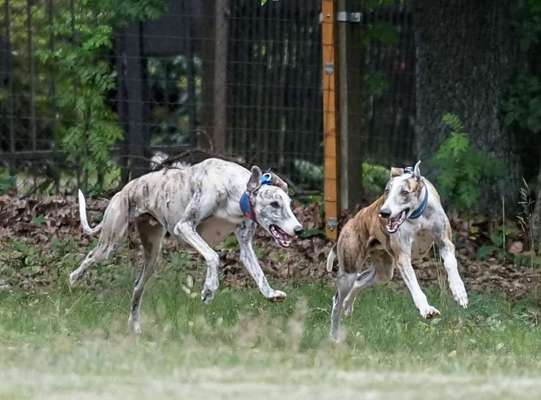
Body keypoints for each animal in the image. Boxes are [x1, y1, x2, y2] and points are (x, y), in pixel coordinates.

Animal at [69, 158, 302, 332]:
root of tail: (124, 189)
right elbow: (213, 256)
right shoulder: (185, 227)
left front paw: (271, 294)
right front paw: (209, 289)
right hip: (111, 241)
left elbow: (258, 273)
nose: (299, 229)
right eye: (274, 204)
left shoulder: (245, 245)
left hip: (152, 256)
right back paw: (73, 280)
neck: (234, 189)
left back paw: (135, 327)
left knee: (136, 287)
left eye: (289, 204)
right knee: (90, 258)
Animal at [326, 161, 466, 342]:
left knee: (359, 282)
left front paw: (459, 292)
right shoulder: (403, 257)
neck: (417, 216)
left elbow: (450, 264)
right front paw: (426, 309)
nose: (384, 213)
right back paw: (334, 334)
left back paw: (348, 305)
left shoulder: (445, 242)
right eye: (387, 191)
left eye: (404, 192)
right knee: (337, 301)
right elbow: (414, 284)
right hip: (348, 271)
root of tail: (348, 224)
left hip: (383, 271)